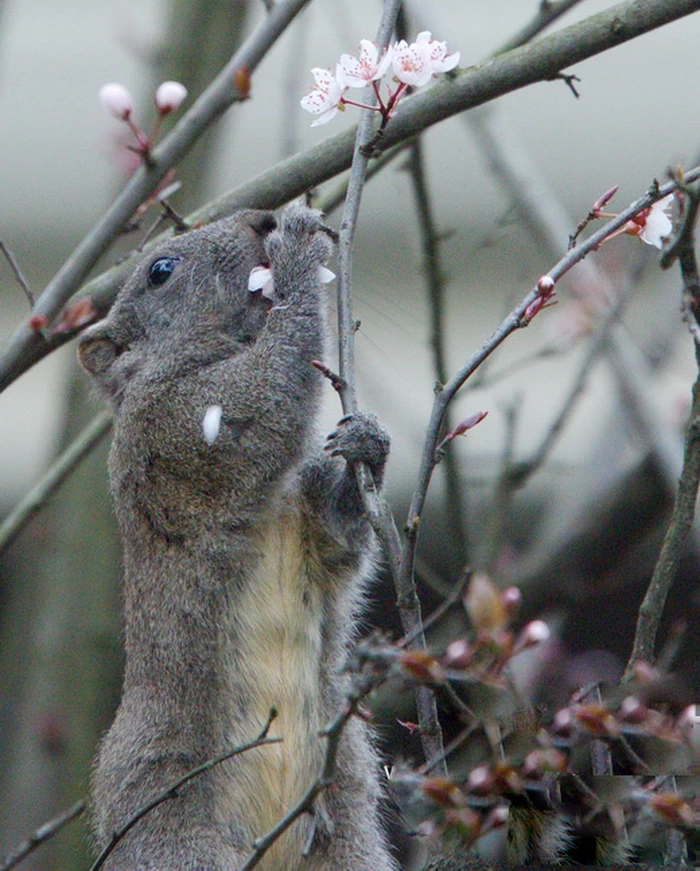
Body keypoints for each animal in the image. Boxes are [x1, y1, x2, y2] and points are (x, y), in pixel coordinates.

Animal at [78, 206, 396, 871]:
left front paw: (367, 444)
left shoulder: (308, 517)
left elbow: (338, 541)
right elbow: (268, 393)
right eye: (160, 270)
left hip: (347, 839)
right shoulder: (181, 429)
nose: (261, 217)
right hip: (174, 837)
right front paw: (298, 251)